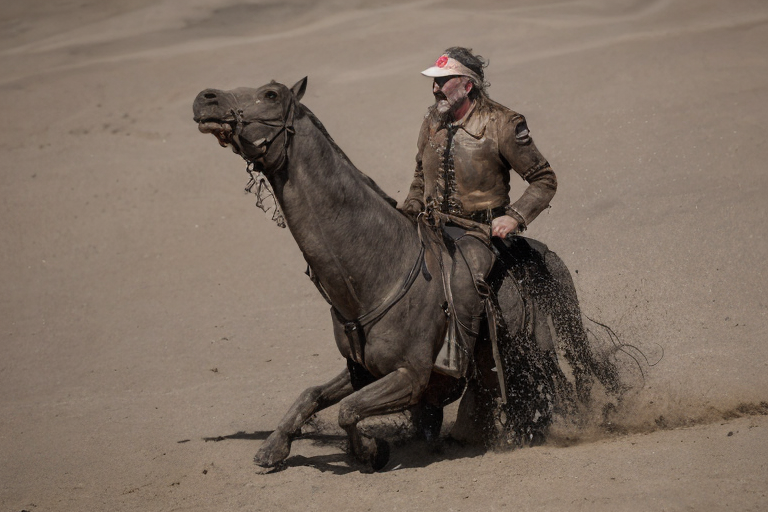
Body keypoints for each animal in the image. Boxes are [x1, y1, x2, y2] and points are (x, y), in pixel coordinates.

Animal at [192, 77, 624, 472]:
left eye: (271, 94)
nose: (204, 97)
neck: (375, 274)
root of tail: (547, 255)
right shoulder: (363, 370)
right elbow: (312, 394)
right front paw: (273, 448)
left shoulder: (410, 376)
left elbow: (348, 411)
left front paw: (371, 451)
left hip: (558, 338)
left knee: (576, 380)